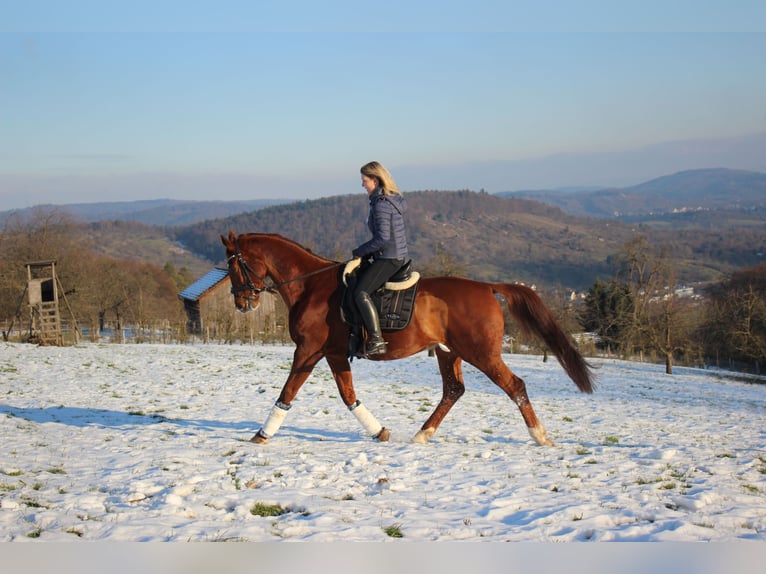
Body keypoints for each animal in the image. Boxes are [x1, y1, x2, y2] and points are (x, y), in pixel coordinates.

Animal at [220, 231, 594, 446]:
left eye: (234, 265)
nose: (241, 303)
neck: (310, 285)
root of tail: (487, 287)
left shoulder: (309, 350)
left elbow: (288, 392)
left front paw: (261, 435)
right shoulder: (334, 353)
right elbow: (348, 395)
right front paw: (379, 432)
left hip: (481, 353)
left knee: (514, 385)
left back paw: (540, 437)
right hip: (448, 352)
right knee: (453, 390)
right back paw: (421, 435)